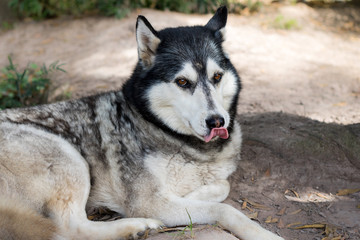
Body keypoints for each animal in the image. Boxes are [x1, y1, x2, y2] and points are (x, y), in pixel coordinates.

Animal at [0, 6, 282, 240]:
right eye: (183, 82)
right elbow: (225, 210)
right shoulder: (150, 201)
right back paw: (135, 226)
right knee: (69, 229)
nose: (216, 121)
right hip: (68, 158)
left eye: (217, 77)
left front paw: (193, 194)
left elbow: (222, 185)